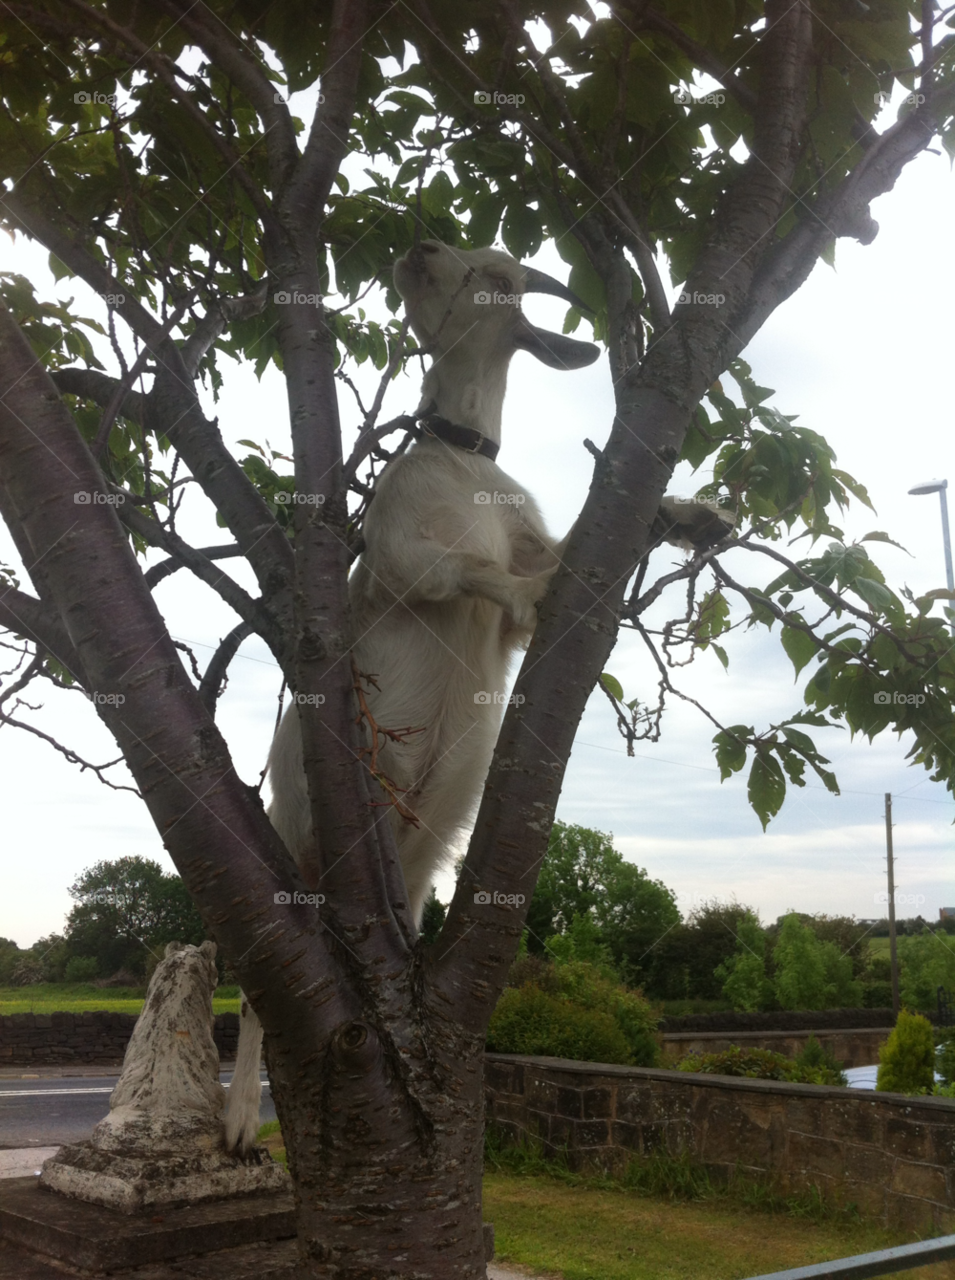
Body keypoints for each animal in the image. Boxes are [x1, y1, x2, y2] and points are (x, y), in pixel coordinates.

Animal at [223, 241, 731, 1154]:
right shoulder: (399, 552)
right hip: (294, 830)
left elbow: (563, 552)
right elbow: (473, 571)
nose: (417, 249)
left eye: (499, 279)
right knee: (251, 991)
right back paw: (243, 1120)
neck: (462, 460)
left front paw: (694, 514)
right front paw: (538, 588)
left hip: (416, 859)